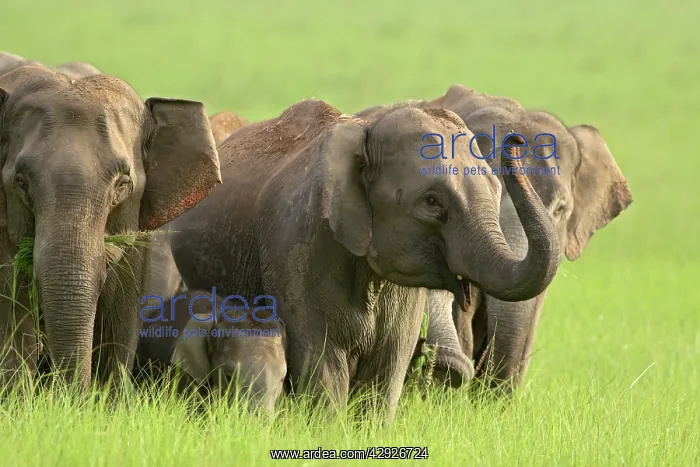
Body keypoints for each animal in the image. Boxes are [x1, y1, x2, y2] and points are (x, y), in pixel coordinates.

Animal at [167, 98, 562, 421]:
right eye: (432, 202)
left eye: (495, 190)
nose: (515, 141)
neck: (366, 133)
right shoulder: (298, 249)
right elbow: (324, 364)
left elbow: (388, 369)